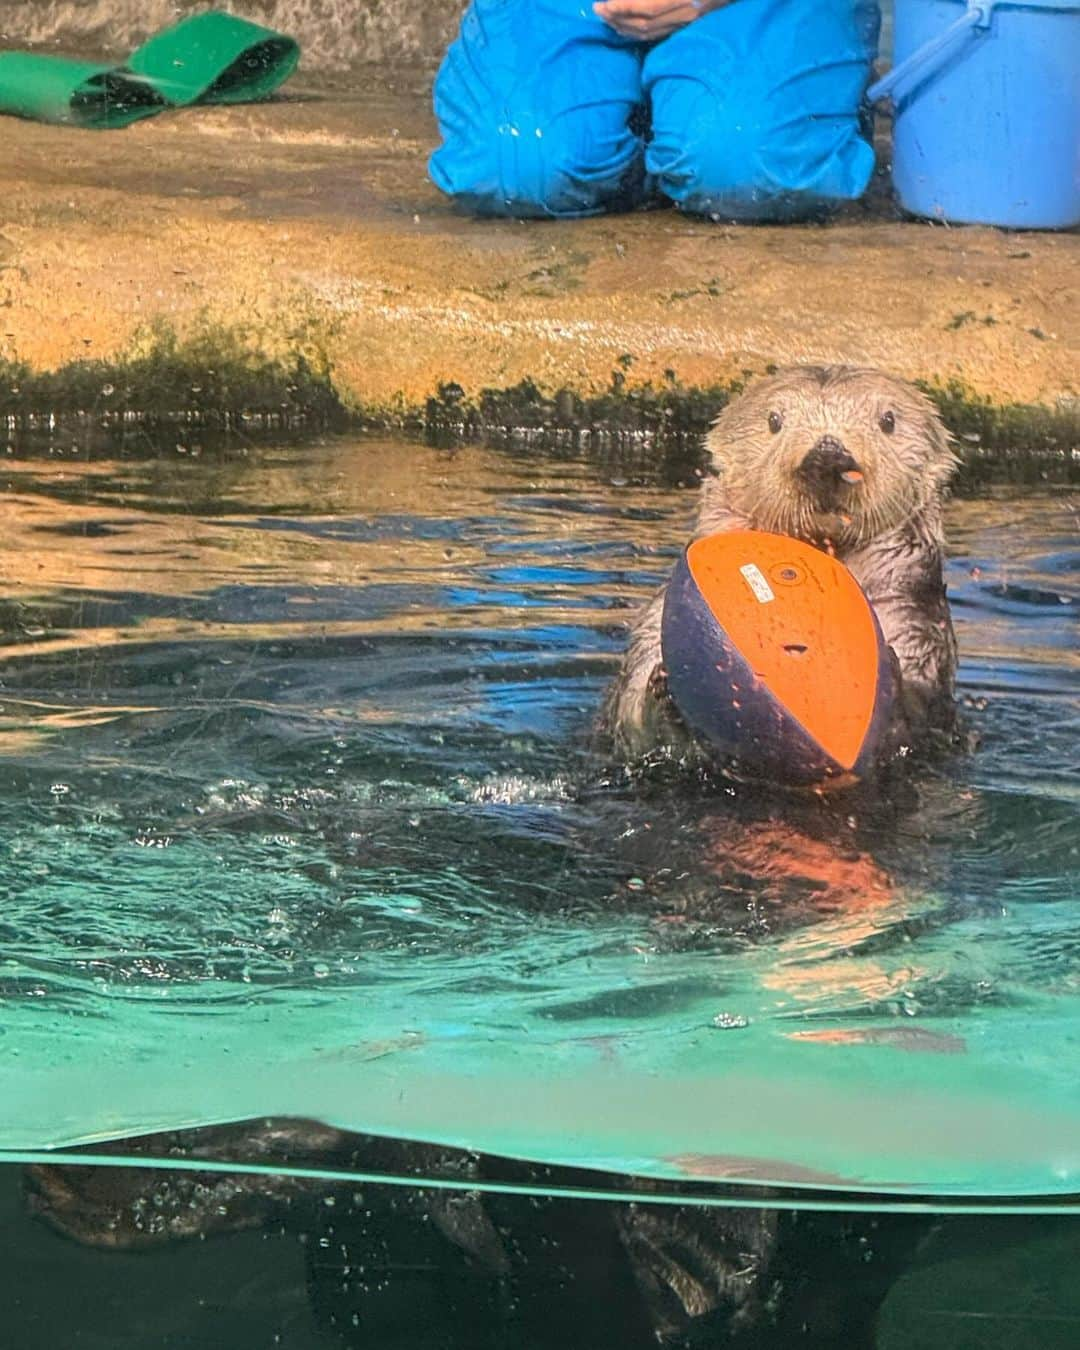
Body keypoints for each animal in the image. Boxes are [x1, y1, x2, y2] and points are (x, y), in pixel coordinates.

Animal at [599, 369, 961, 766]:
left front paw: (888, 679)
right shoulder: (661, 615)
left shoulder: (911, 615)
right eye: (774, 420)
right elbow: (633, 711)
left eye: (888, 420)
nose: (828, 458)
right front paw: (667, 691)